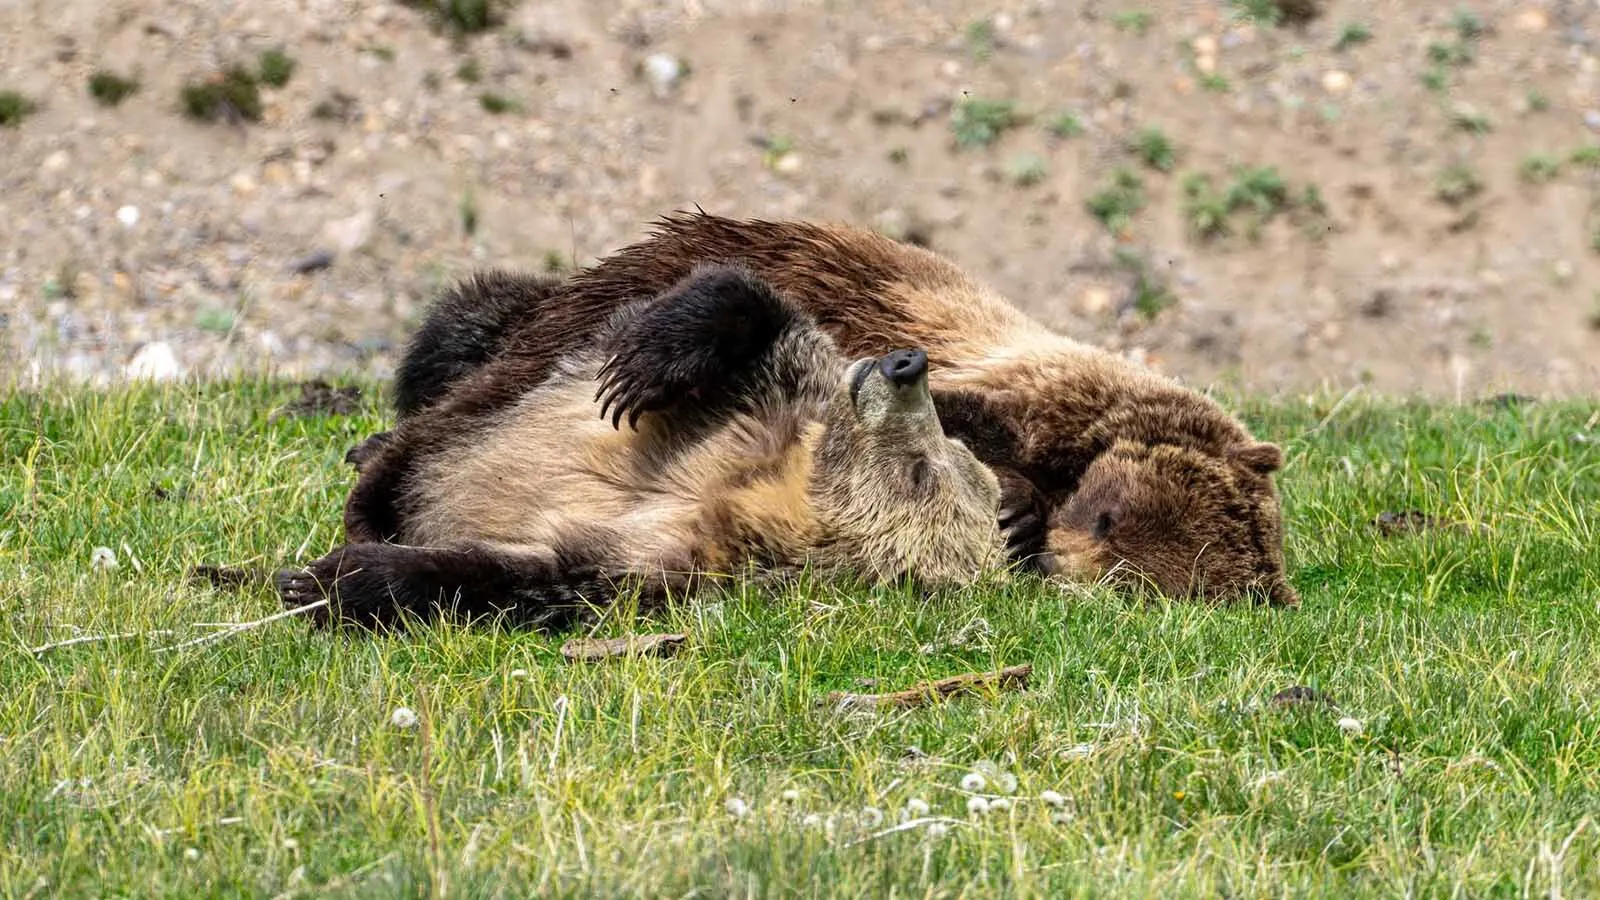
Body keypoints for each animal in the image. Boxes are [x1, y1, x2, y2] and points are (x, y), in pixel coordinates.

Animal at [278, 263, 1009, 631]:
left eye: (922, 472)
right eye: (952, 451)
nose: (906, 365)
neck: (763, 480)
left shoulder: (667, 557)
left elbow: (524, 575)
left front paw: (336, 577)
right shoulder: (772, 391)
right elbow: (748, 301)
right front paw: (645, 365)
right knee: (462, 330)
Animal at [349, 211, 1299, 608]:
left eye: (1142, 579)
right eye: (1111, 516)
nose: (1066, 551)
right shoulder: (1005, 383)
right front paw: (1016, 510)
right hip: (605, 296)